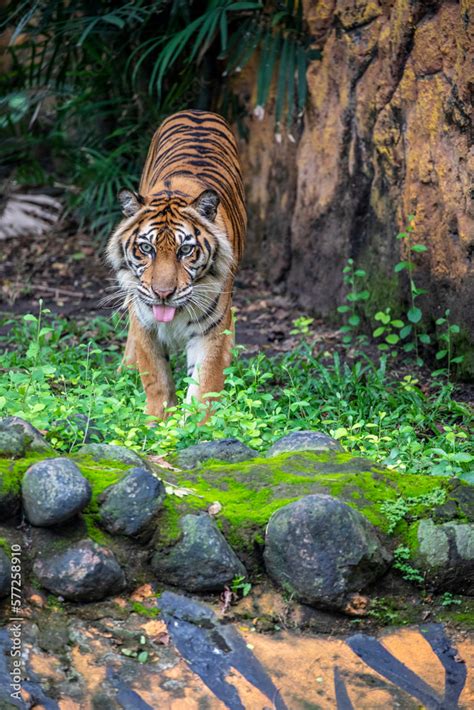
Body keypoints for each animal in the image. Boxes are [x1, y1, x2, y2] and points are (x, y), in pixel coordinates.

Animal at [106, 110, 246, 420]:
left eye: (185, 250)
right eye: (147, 248)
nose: (163, 294)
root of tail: (197, 111)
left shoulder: (211, 331)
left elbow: (205, 387)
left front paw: (198, 427)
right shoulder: (145, 324)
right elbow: (156, 377)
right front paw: (156, 421)